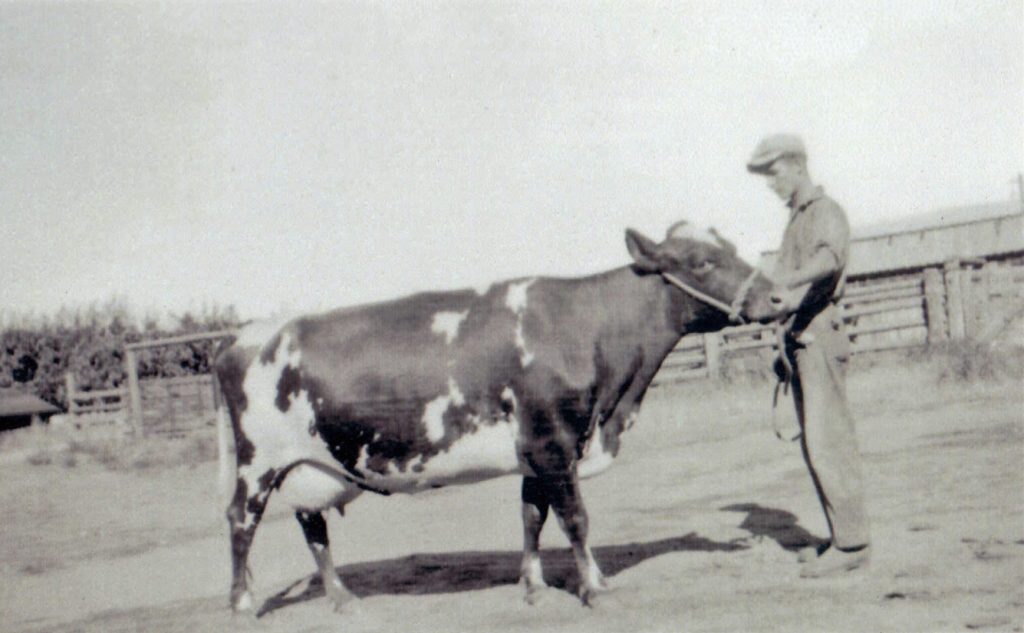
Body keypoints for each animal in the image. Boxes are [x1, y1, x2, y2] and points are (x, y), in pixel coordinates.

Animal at [214, 222, 774, 610]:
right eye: (701, 262)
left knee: (311, 523)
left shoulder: (534, 450)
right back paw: (242, 604)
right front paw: (595, 587)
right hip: (258, 460)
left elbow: (532, 515)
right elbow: (575, 518)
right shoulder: (553, 441)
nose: (775, 294)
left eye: (730, 247)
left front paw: (533, 585)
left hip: (309, 463)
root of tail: (241, 336)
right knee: (241, 519)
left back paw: (341, 596)